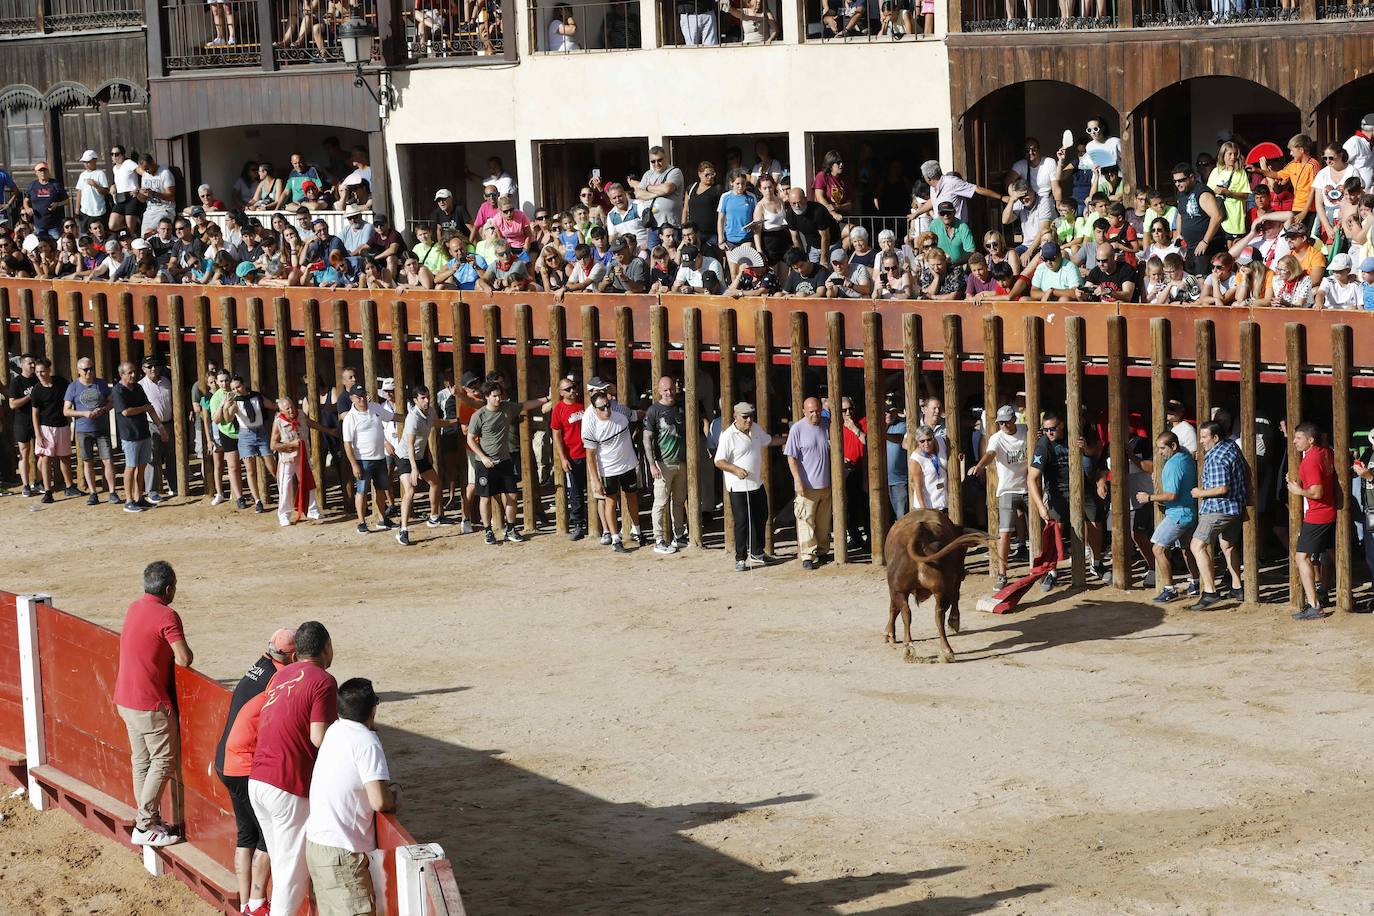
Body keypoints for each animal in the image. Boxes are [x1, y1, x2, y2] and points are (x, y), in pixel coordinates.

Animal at [884, 513, 994, 661]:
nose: (965, 573)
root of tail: (919, 532)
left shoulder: (895, 589)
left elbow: (894, 608)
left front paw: (890, 634)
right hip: (938, 590)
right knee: (935, 614)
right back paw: (945, 650)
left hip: (907, 590)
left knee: (910, 613)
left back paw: (911, 647)